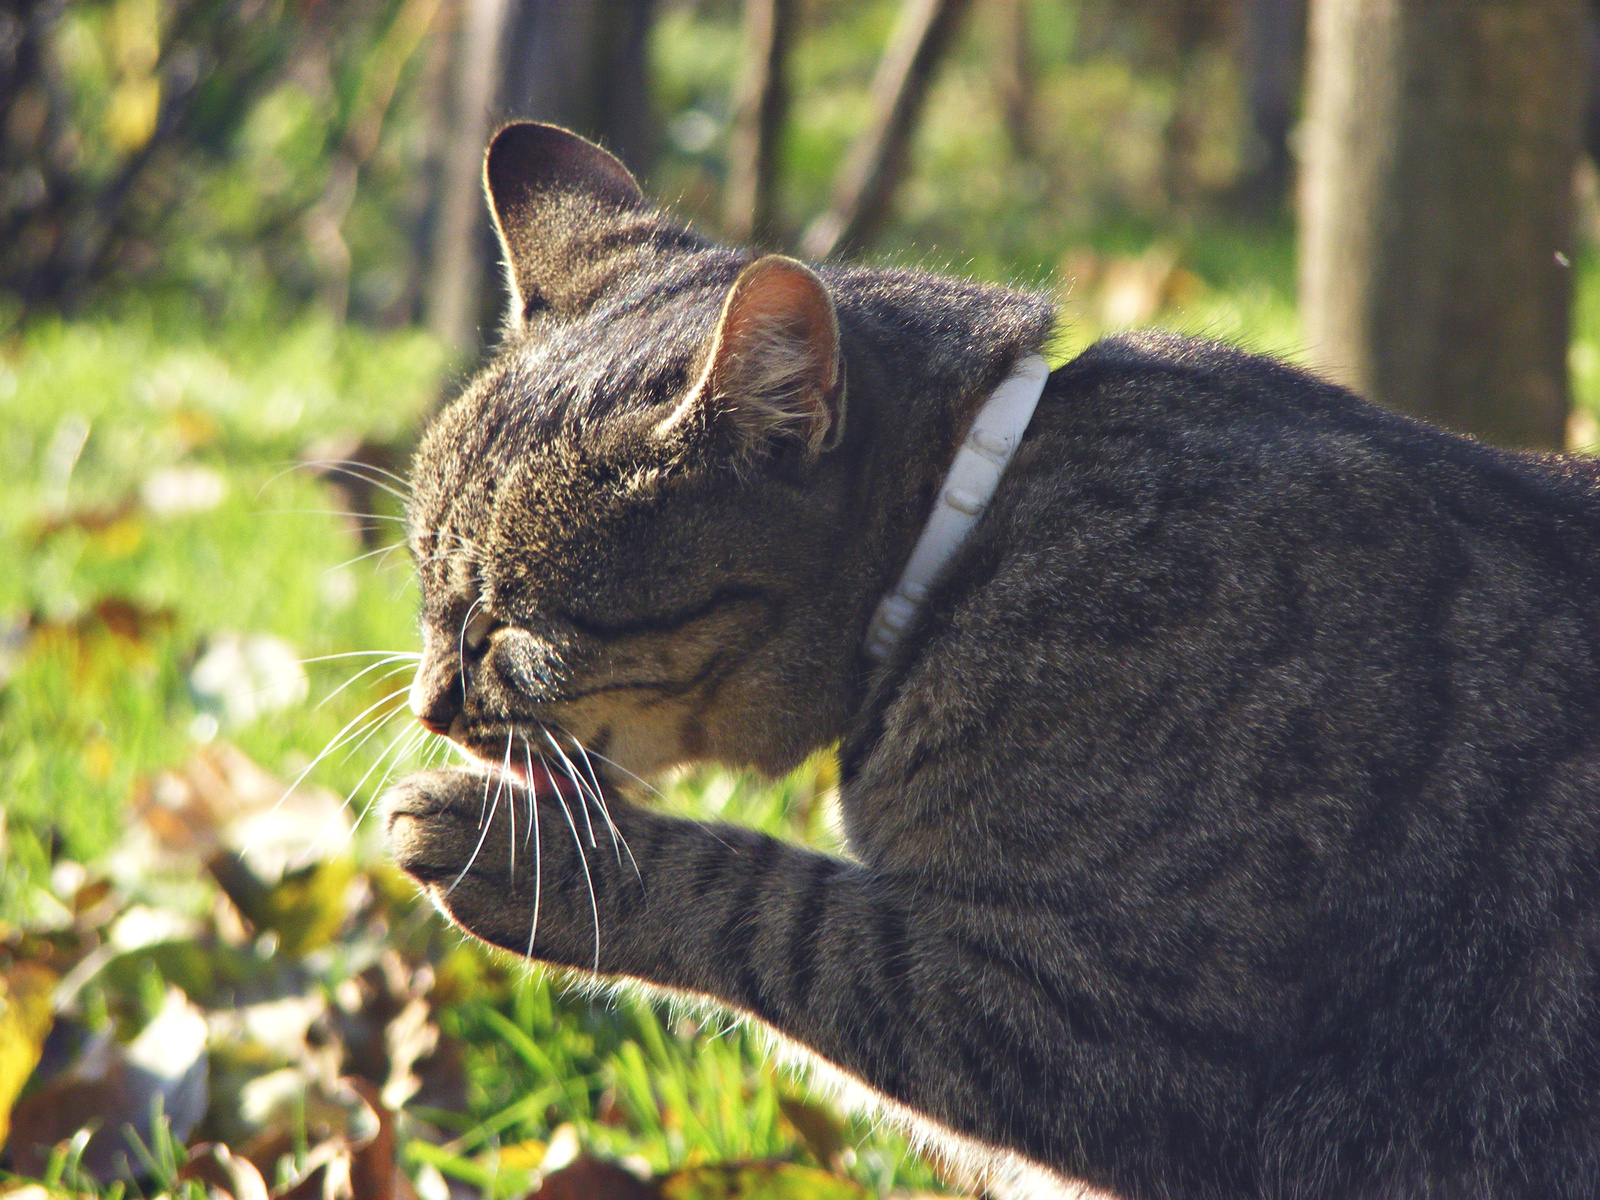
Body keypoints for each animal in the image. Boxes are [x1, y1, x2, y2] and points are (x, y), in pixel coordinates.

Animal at [380, 124, 1600, 1200]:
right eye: (427, 587)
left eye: (515, 627)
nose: (430, 704)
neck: (975, 531)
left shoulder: (1120, 1034)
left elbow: (781, 913)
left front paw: (523, 855)